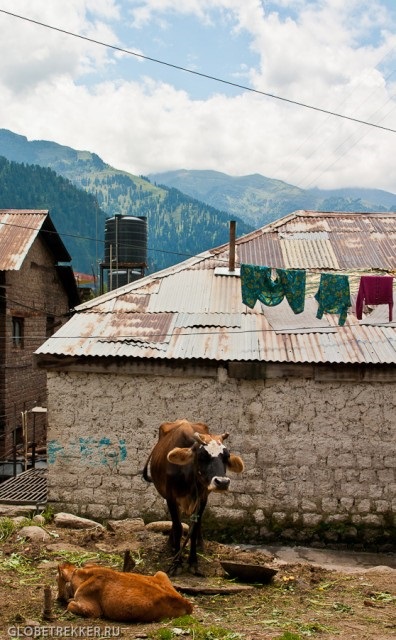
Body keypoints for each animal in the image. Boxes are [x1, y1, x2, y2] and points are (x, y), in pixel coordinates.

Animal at [57, 564, 193, 624]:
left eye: (57, 579)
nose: (57, 598)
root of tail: (186, 603)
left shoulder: (93, 611)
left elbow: (70, 605)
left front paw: (69, 601)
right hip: (161, 572)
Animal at [142, 418, 243, 572]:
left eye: (226, 457)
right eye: (202, 456)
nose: (222, 482)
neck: (187, 475)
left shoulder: (202, 498)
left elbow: (194, 529)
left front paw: (193, 562)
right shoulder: (171, 497)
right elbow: (178, 527)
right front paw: (176, 562)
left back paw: (200, 545)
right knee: (175, 523)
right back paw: (170, 546)